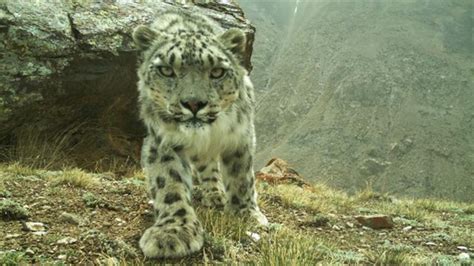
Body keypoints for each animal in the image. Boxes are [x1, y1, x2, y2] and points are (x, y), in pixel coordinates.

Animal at [132, 10, 266, 258]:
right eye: (166, 70)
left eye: (217, 72)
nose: (193, 103)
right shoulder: (163, 142)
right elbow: (169, 183)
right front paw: (173, 232)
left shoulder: (241, 137)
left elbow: (242, 177)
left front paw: (246, 213)